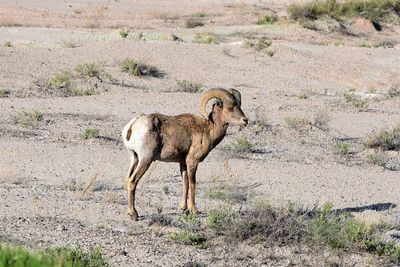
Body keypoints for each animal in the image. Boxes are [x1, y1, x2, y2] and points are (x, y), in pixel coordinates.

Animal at [122, 88, 247, 222]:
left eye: (239, 106)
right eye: (229, 107)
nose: (245, 121)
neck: (208, 129)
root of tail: (132, 125)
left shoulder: (183, 163)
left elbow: (185, 184)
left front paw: (184, 209)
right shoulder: (192, 161)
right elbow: (192, 184)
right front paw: (194, 210)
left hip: (134, 158)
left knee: (128, 179)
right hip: (146, 159)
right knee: (132, 181)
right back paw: (134, 214)